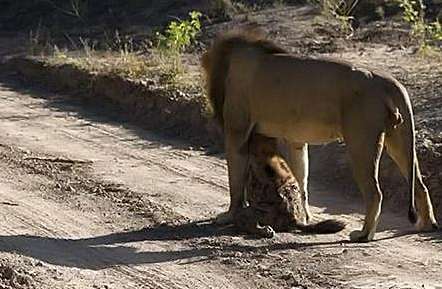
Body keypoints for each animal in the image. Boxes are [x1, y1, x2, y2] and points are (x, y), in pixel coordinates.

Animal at [202, 28, 436, 241]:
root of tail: (391, 82)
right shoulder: (295, 140)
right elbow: (301, 179)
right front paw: (305, 218)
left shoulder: (236, 132)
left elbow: (235, 181)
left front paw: (229, 215)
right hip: (399, 141)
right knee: (420, 184)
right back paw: (426, 225)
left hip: (361, 143)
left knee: (375, 193)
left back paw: (363, 235)